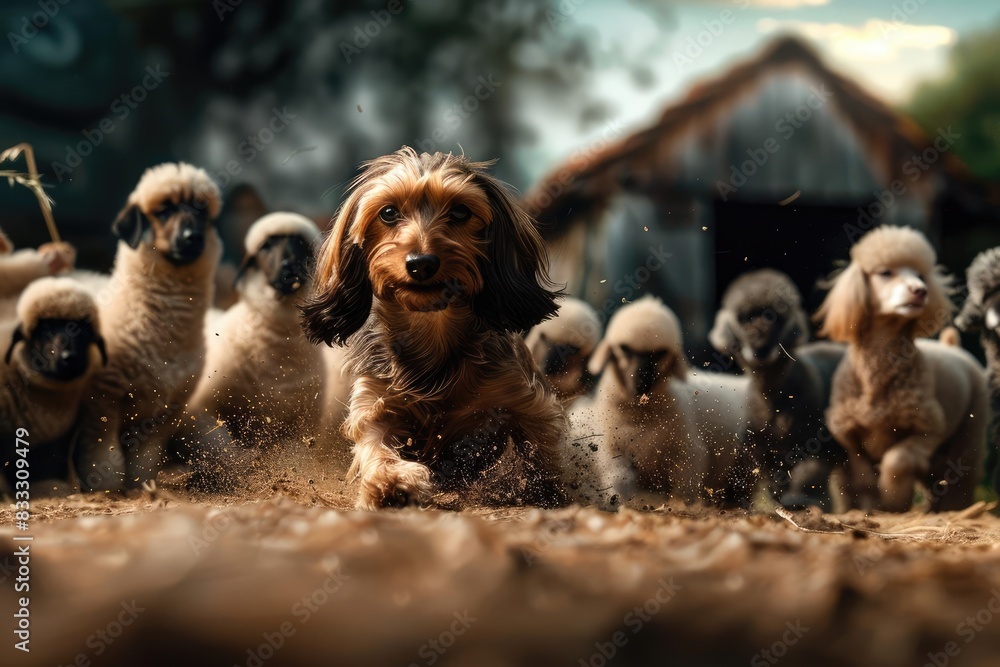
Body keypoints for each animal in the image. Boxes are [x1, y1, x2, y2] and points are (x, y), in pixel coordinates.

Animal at [74, 164, 223, 494]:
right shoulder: (103, 399)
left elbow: (146, 458)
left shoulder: (165, 414)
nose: (192, 238)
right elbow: (106, 454)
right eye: (164, 211)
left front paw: (143, 486)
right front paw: (106, 485)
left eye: (201, 211)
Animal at [300, 147, 568, 512]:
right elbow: (375, 445)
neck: (432, 328)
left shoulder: (524, 397)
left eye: (460, 211)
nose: (421, 263)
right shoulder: (374, 401)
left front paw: (552, 493)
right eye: (388, 212)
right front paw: (391, 483)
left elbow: (542, 449)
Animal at [816, 227, 988, 516]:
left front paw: (894, 499)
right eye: (885, 272)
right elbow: (860, 471)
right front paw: (873, 504)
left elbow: (896, 459)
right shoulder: (846, 433)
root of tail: (951, 345)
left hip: (968, 434)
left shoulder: (929, 429)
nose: (920, 290)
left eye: (920, 275)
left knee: (959, 479)